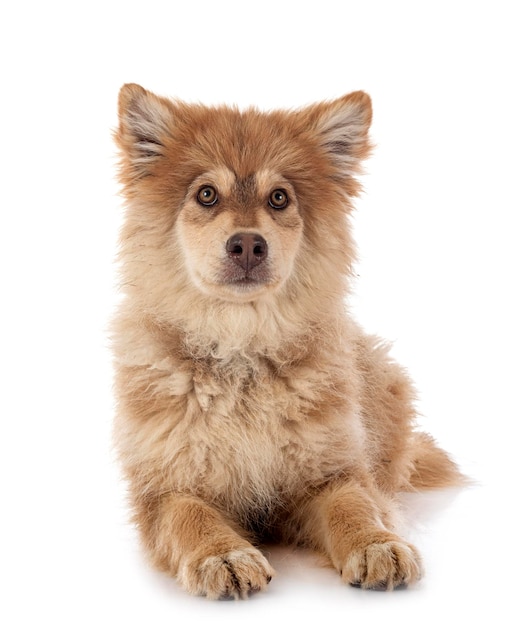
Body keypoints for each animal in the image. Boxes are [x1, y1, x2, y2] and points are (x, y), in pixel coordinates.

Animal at [111, 83, 462, 596]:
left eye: (279, 198)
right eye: (206, 195)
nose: (247, 244)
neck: (241, 348)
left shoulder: (330, 473)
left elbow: (354, 505)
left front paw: (375, 545)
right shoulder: (167, 486)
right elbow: (191, 518)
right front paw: (224, 554)